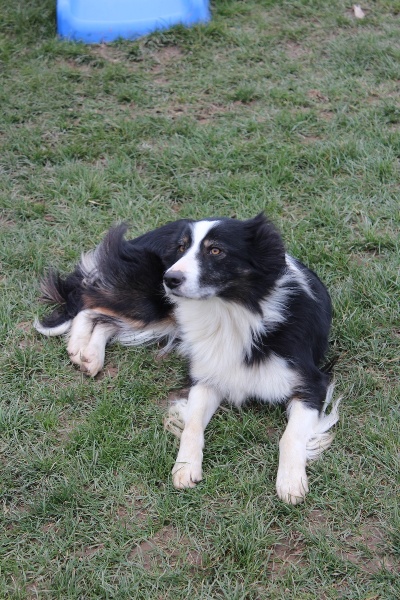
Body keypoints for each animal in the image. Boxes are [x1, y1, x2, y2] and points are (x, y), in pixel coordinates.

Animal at [35, 213, 341, 504]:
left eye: (216, 250)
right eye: (181, 248)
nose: (170, 278)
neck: (230, 311)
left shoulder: (311, 383)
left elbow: (290, 436)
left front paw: (290, 482)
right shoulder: (207, 377)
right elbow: (192, 425)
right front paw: (184, 467)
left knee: (103, 318)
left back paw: (88, 354)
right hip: (154, 303)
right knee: (89, 304)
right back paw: (80, 347)